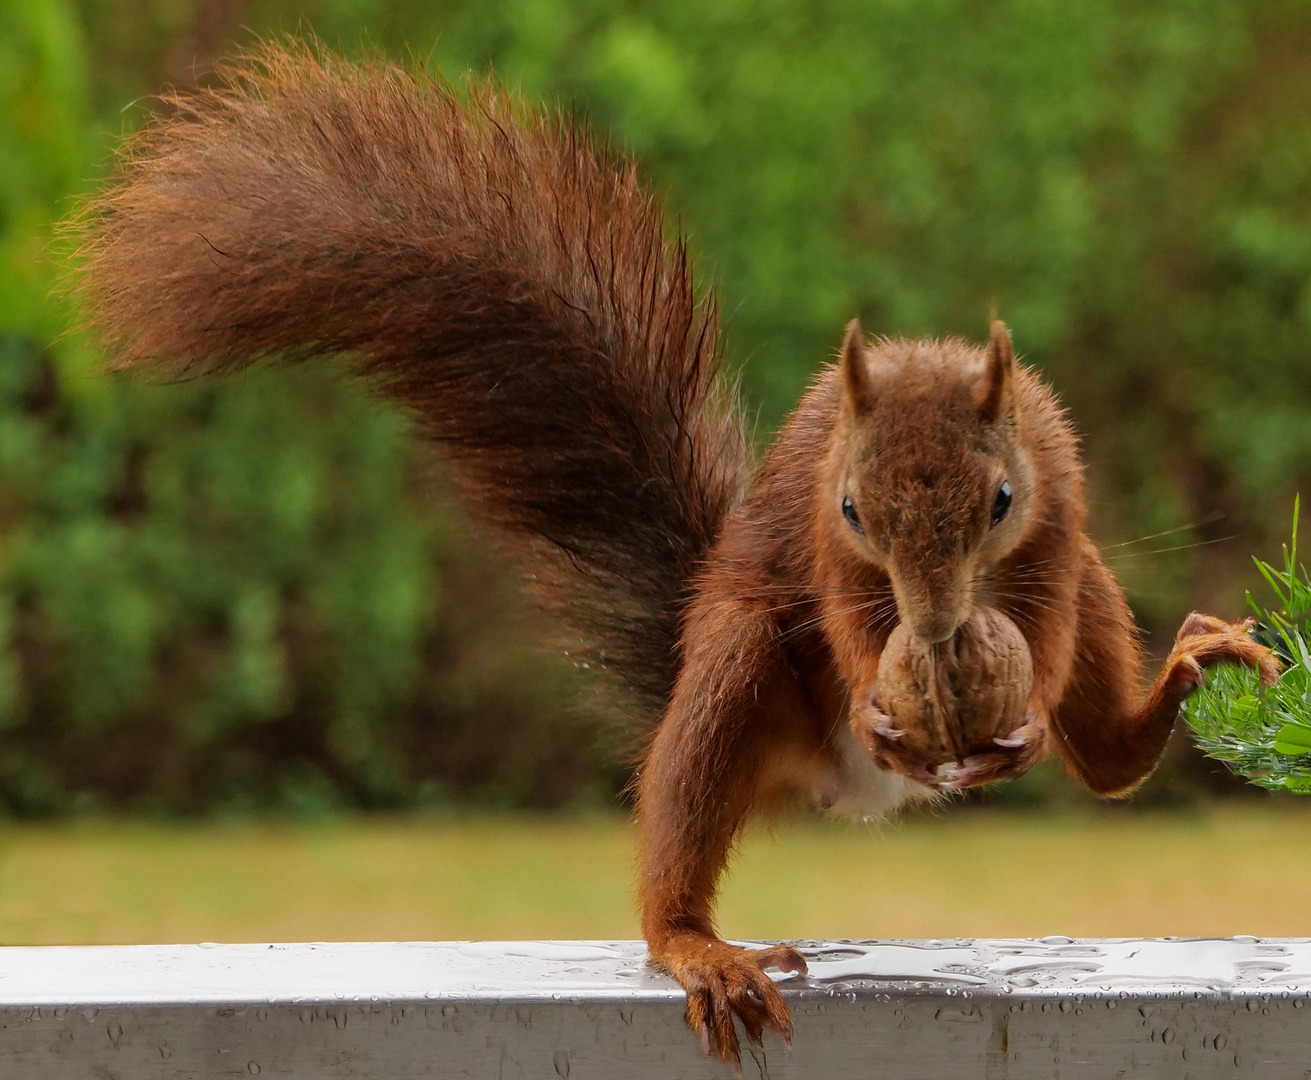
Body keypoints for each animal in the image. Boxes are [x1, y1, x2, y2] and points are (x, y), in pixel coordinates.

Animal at [74, 46, 1279, 1069]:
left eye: (1000, 502)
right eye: (851, 507)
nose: (934, 632)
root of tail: (841, 784)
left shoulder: (1061, 513)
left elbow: (1052, 612)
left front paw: (1017, 724)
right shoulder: (822, 544)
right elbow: (849, 619)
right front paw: (892, 701)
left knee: (1105, 736)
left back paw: (1169, 689)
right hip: (739, 668)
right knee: (684, 838)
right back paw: (697, 942)